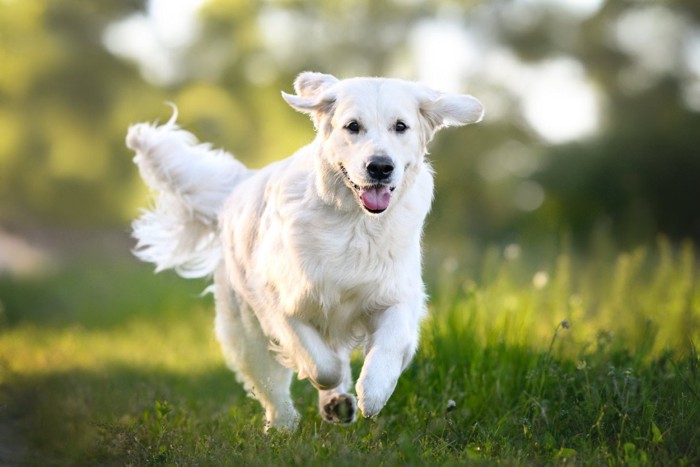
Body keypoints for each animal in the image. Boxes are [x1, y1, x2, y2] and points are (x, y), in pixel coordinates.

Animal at [127, 72, 482, 432]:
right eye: (352, 126)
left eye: (401, 126)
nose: (380, 167)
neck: (354, 221)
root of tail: (240, 185)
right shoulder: (281, 302)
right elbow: (322, 364)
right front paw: (331, 386)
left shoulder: (396, 294)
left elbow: (390, 344)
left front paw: (373, 392)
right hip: (243, 328)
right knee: (270, 383)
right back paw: (282, 425)